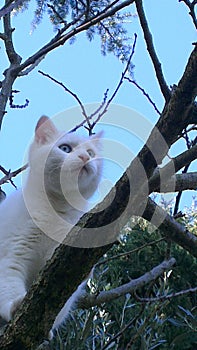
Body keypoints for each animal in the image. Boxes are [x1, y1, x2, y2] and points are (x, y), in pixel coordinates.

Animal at [0, 116, 103, 324]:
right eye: (65, 148)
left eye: (91, 153)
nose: (85, 158)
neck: (56, 210)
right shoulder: (10, 255)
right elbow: (8, 287)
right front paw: (14, 306)